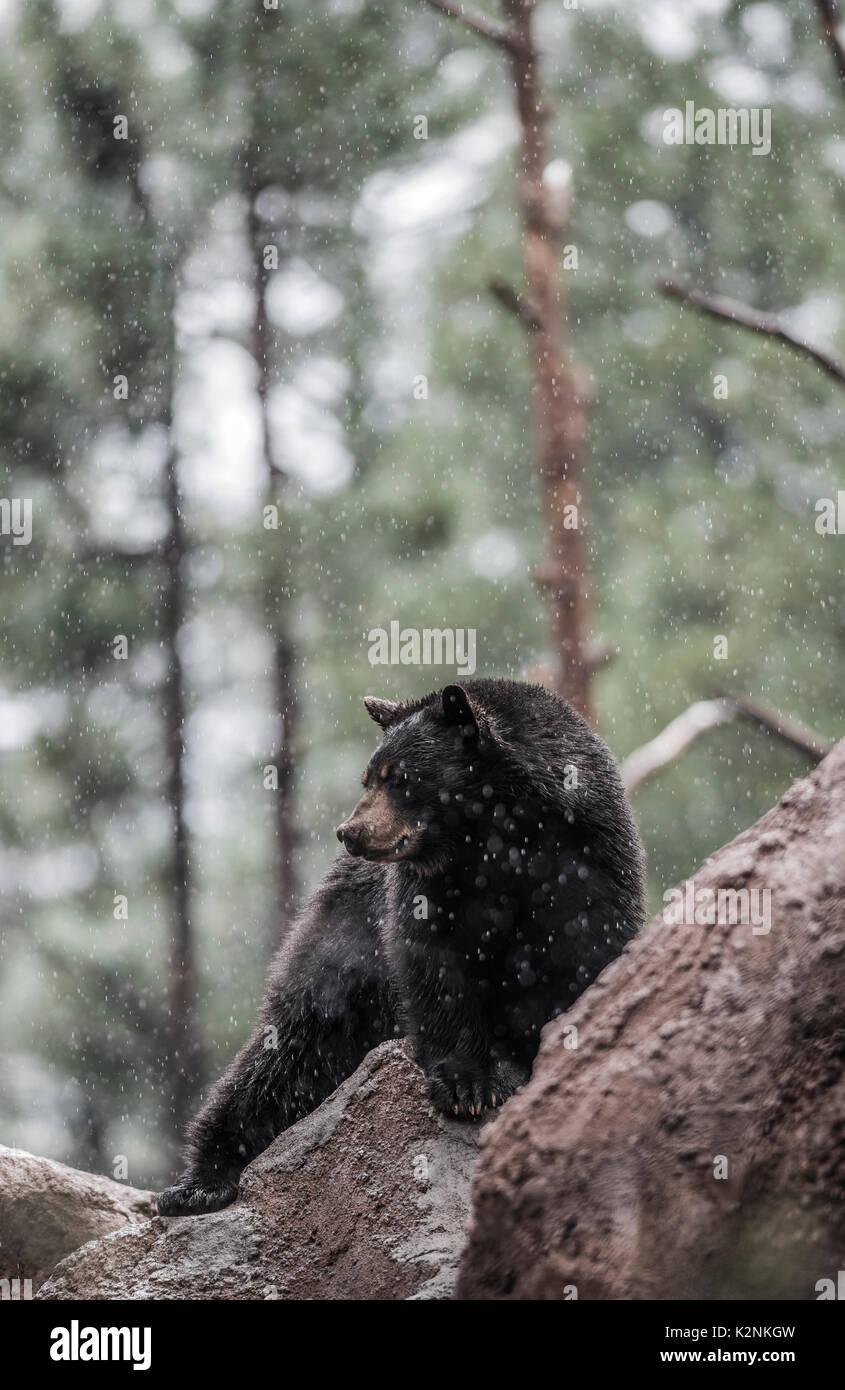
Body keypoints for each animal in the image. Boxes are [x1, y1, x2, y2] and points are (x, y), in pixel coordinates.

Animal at [157, 678, 644, 1215]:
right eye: (367, 778)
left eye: (401, 777)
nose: (349, 832)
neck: (495, 837)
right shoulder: (425, 889)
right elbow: (433, 964)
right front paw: (465, 1083)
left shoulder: (585, 859)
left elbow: (578, 957)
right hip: (339, 949)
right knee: (288, 1051)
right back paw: (198, 1183)